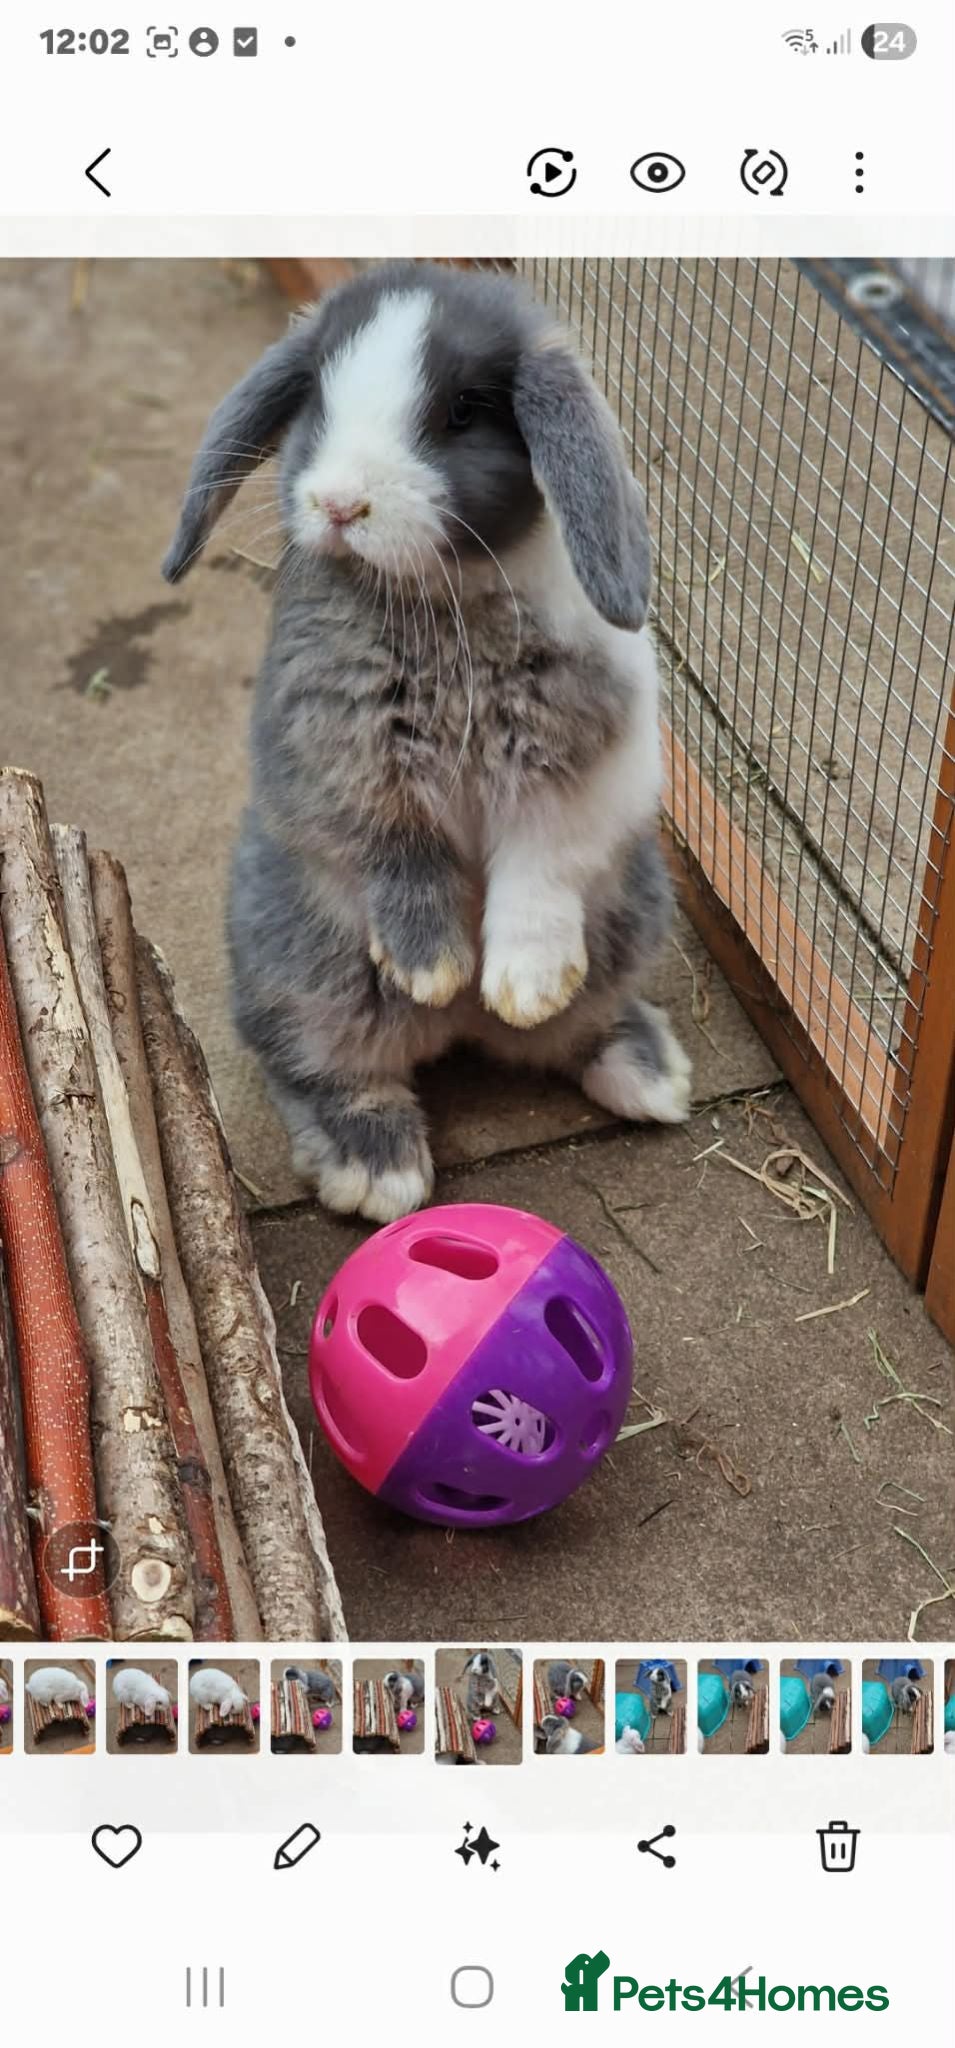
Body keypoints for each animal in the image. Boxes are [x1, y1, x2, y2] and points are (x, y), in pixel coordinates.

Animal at [162, 261, 690, 1225]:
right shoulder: (344, 765)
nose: (339, 503)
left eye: (462, 413)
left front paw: (521, 982)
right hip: (301, 961)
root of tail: (458, 1038)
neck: (441, 599)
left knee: (571, 1028)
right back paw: (377, 1165)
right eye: (316, 398)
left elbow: (540, 869)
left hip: (630, 909)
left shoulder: (586, 774)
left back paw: (640, 1070)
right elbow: (399, 855)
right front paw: (431, 965)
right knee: (311, 1062)